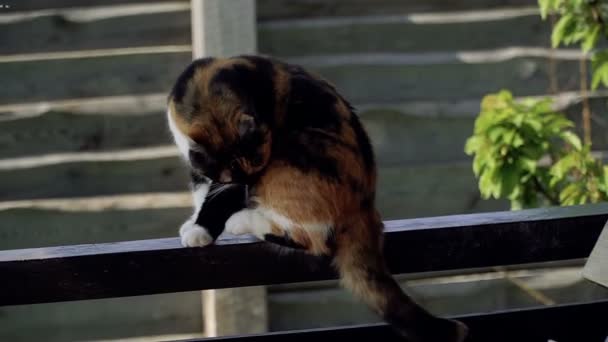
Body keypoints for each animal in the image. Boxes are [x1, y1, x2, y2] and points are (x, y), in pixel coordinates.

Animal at [164, 54, 468, 340]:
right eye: (237, 171)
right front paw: (194, 220)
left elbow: (218, 199)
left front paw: (201, 231)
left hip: (295, 155)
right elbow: (204, 190)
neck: (204, 87)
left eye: (258, 164)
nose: (250, 185)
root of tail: (365, 206)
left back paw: (242, 220)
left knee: (311, 239)